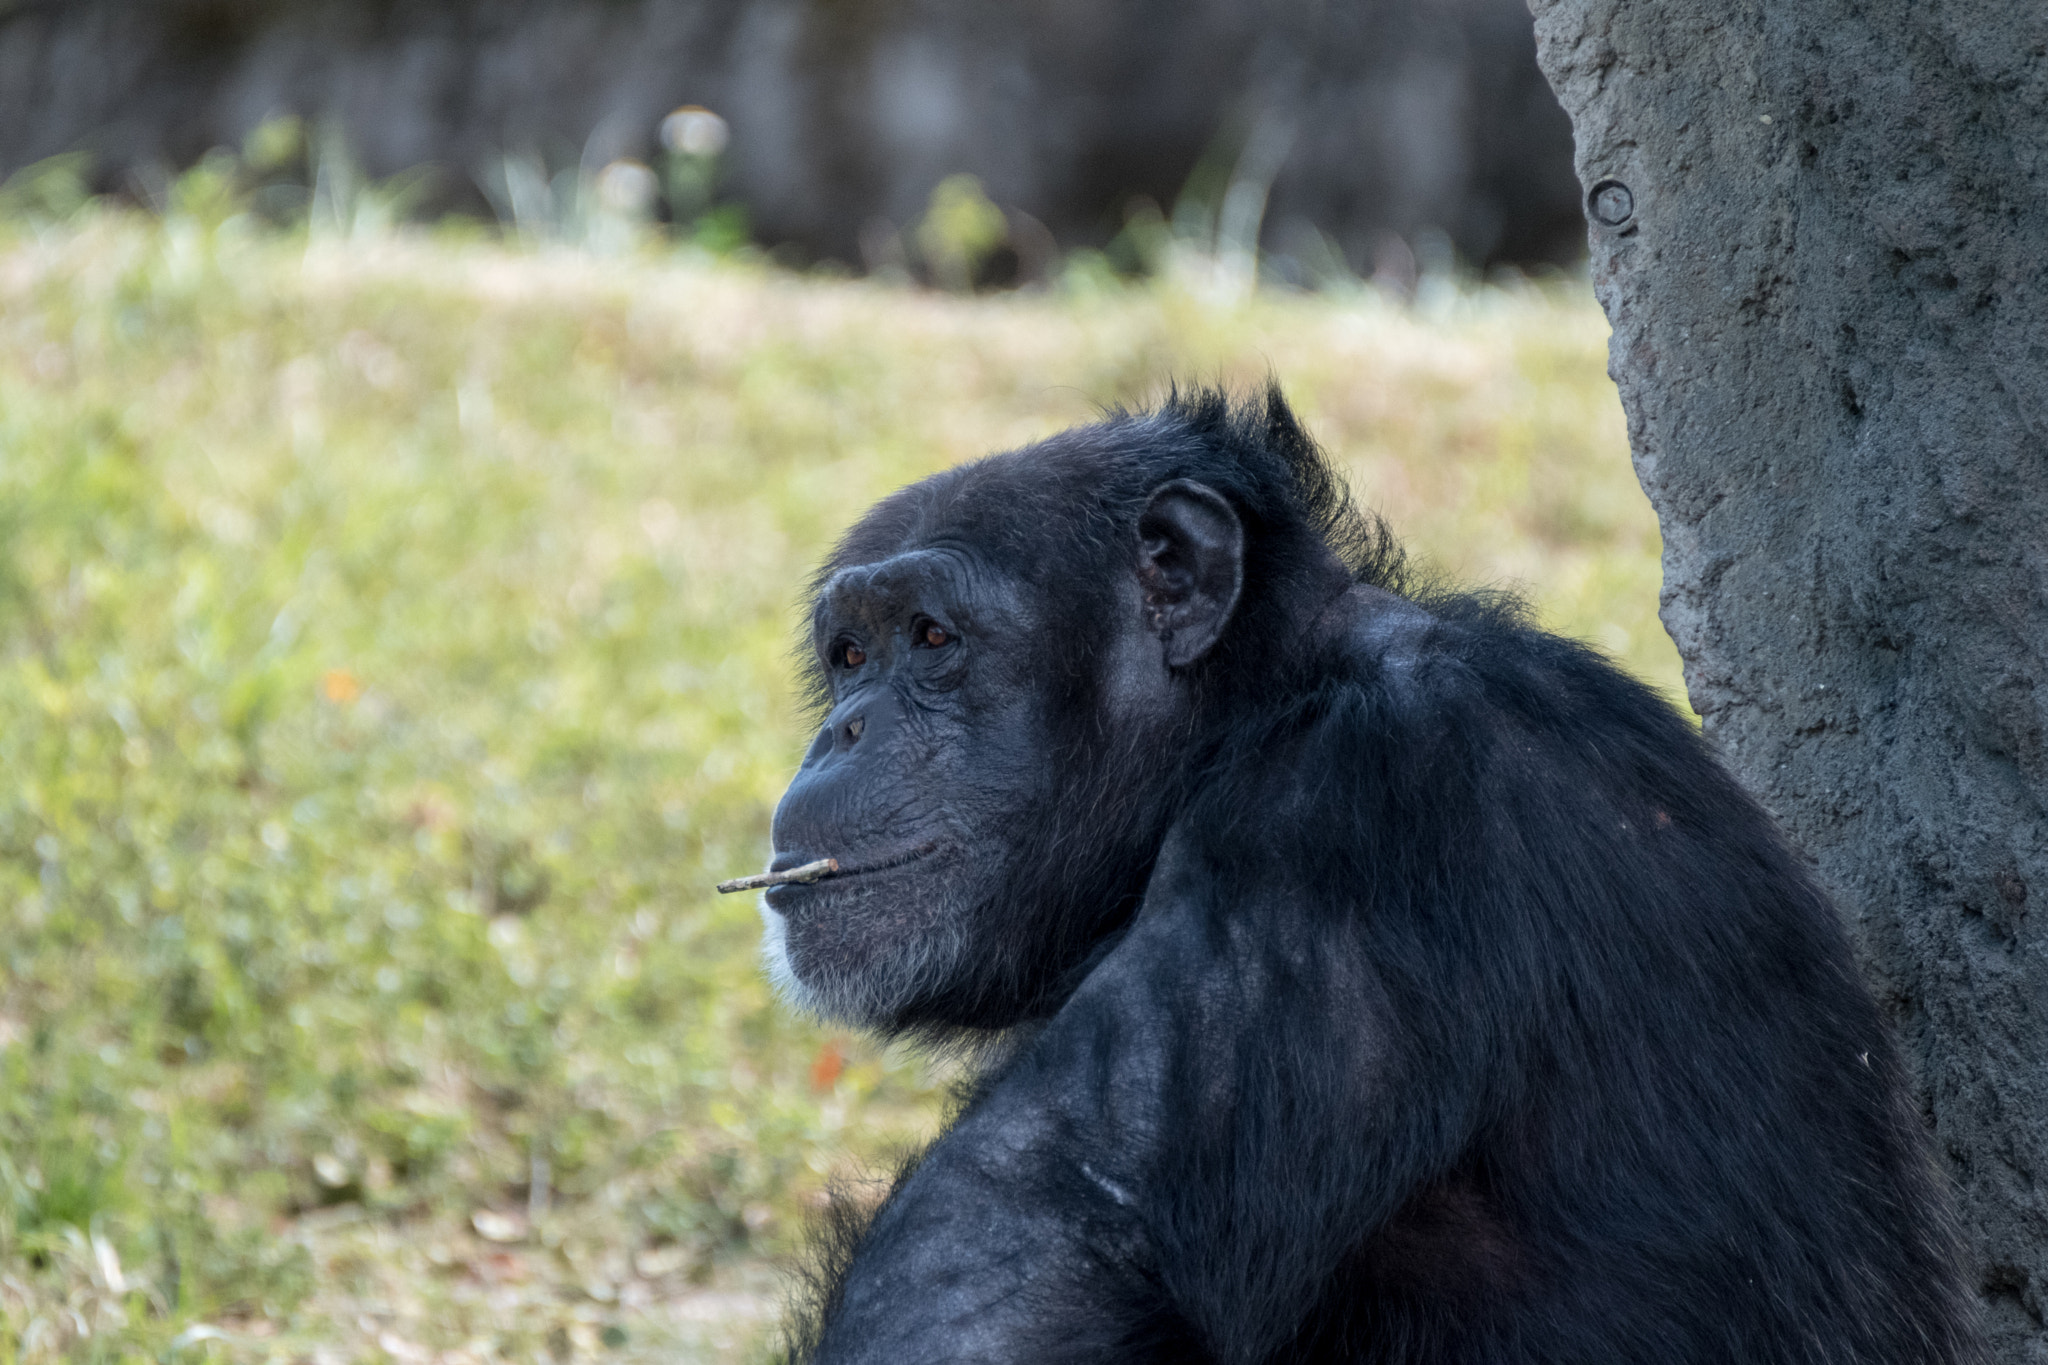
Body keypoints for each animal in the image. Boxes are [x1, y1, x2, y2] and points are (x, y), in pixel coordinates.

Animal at [741, 386, 1982, 1365]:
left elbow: (1029, 1245)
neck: (1261, 703)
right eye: (848, 655)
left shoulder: (1338, 822)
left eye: (931, 638)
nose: (841, 732)